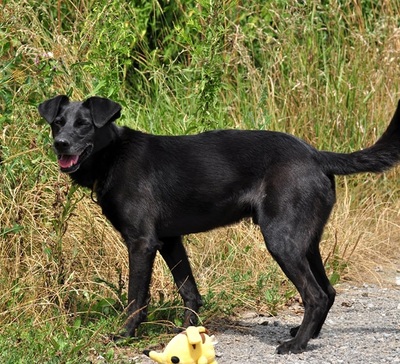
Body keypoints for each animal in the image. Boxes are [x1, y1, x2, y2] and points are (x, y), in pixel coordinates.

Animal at [39, 95, 400, 354]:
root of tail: (316, 154)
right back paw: (306, 334)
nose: (60, 144)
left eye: (84, 124)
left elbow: (135, 298)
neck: (113, 155)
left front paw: (125, 335)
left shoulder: (141, 243)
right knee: (329, 289)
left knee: (316, 294)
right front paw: (187, 333)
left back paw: (296, 345)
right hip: (305, 241)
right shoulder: (170, 240)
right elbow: (189, 290)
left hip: (281, 240)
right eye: (57, 123)